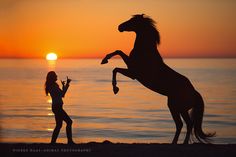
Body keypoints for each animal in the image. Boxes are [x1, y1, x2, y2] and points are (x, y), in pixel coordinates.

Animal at [100, 14, 215, 144]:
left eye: (133, 20)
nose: (120, 27)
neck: (145, 52)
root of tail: (195, 93)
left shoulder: (133, 73)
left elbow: (115, 68)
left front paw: (115, 88)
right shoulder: (131, 70)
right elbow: (118, 52)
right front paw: (104, 60)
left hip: (177, 107)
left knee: (185, 124)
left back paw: (181, 143)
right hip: (177, 107)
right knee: (182, 124)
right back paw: (175, 143)